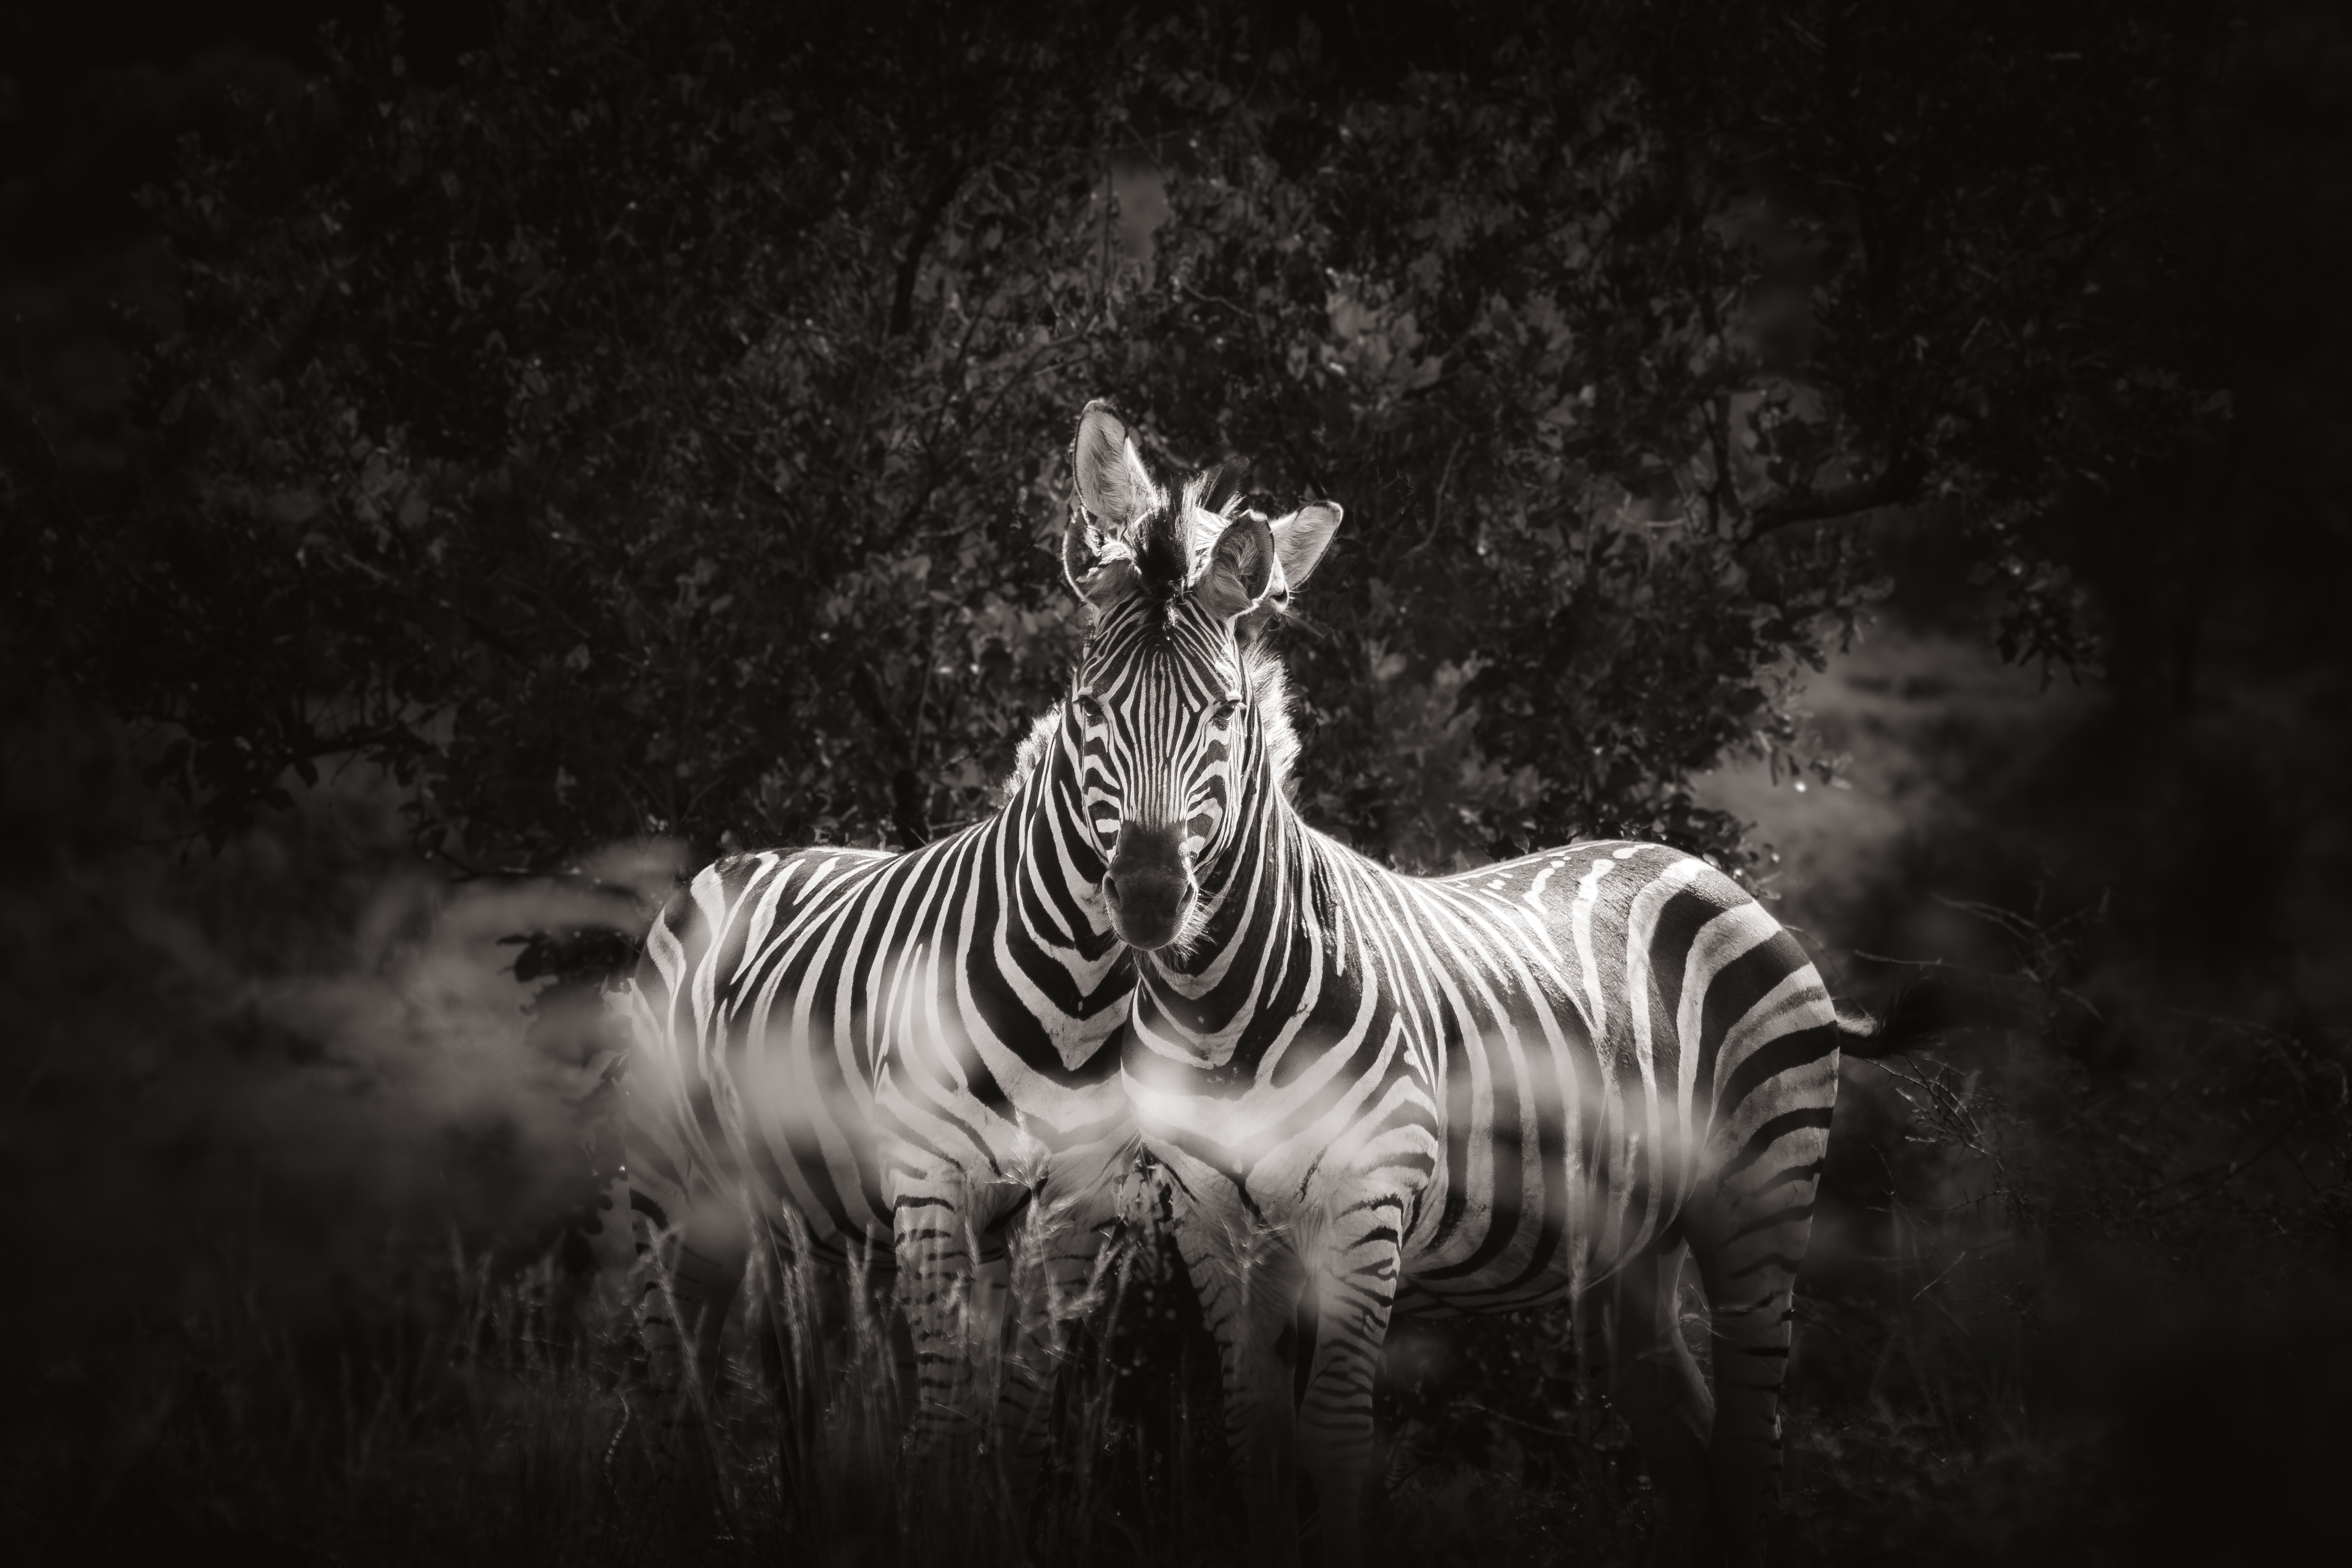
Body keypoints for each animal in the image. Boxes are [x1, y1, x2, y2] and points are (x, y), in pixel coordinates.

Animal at [1068, 419, 1926, 1565]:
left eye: (1224, 713)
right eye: (1088, 707)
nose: (1153, 898)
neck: (1217, 1006)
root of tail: (1708, 872)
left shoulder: (1369, 1207)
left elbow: (1334, 1440)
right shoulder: (1211, 1227)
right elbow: (1254, 1442)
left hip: (1760, 1194)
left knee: (1752, 1449)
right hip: (1634, 1242)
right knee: (1686, 1436)